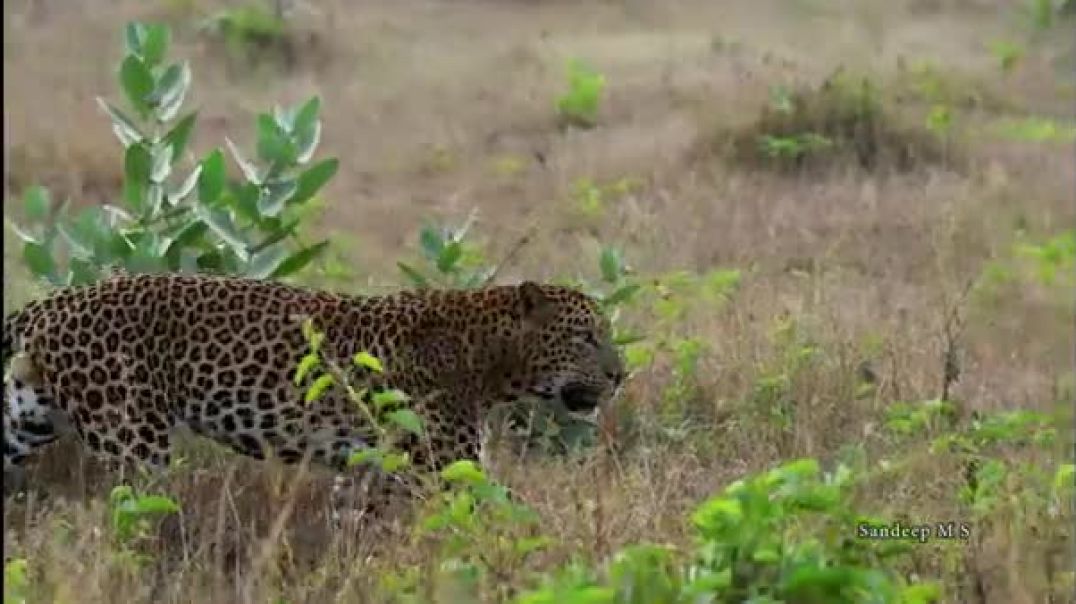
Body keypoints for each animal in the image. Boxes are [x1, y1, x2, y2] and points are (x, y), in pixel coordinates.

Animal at [2, 273, 624, 512]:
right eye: (586, 337)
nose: (620, 375)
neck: (489, 357)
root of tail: (53, 301)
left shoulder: (378, 470)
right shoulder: (444, 463)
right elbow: (501, 509)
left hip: (22, 420)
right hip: (132, 438)